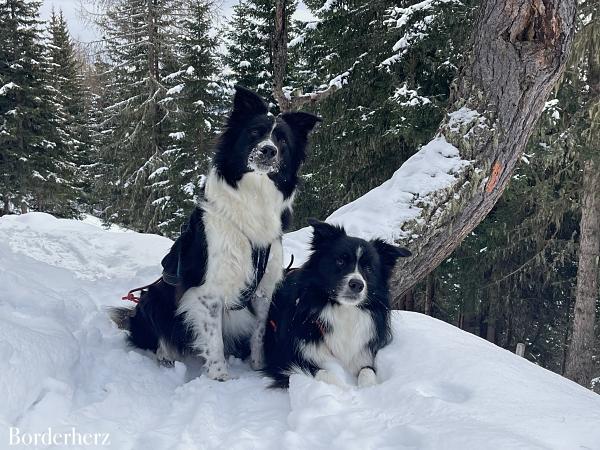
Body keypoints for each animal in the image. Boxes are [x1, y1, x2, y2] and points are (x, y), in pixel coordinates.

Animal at [110, 85, 322, 380]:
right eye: (254, 133)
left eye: (282, 141)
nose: (268, 150)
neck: (253, 197)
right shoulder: (208, 291)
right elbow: (214, 339)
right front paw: (220, 377)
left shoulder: (264, 290)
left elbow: (258, 333)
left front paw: (258, 367)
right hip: (154, 296)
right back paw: (165, 357)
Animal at [264, 220, 410, 388]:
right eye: (340, 261)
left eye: (369, 268)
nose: (357, 285)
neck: (343, 310)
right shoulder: (284, 359)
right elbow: (326, 375)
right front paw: (345, 390)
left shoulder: (362, 355)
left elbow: (367, 371)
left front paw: (368, 388)